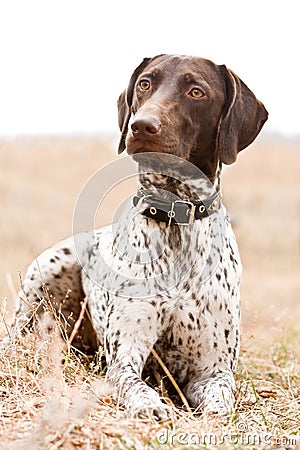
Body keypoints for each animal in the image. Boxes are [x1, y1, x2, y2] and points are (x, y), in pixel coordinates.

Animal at [9, 55, 268, 418]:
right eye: (145, 83)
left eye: (196, 91)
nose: (142, 125)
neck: (176, 213)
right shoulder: (125, 358)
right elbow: (136, 386)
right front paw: (153, 407)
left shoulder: (213, 371)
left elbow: (219, 406)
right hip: (45, 273)